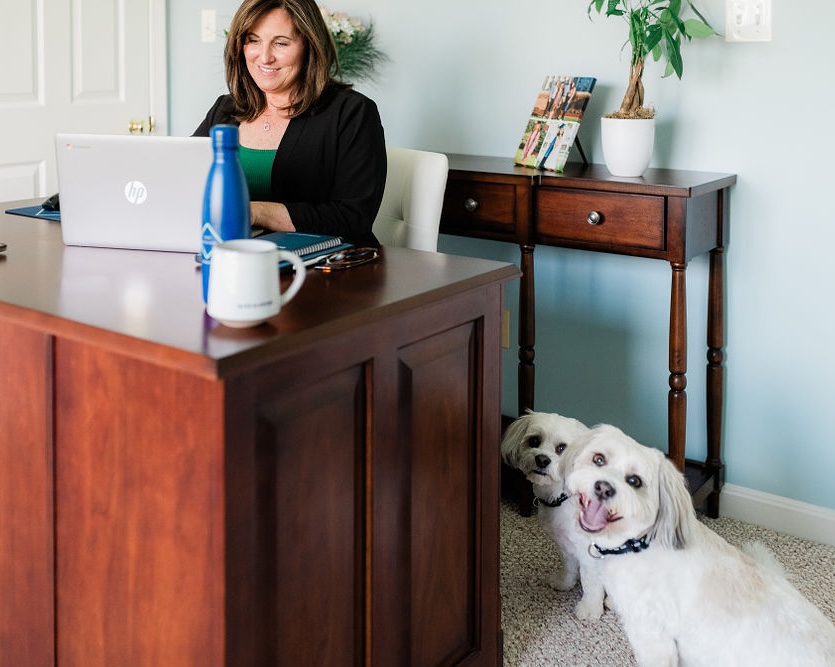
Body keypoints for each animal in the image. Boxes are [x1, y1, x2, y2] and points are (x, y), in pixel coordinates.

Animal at [500, 412, 604, 620]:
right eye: (534, 440)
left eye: (562, 448)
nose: (542, 459)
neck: (562, 497)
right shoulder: (565, 543)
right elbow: (569, 566)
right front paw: (565, 583)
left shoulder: (591, 550)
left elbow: (591, 581)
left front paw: (589, 609)